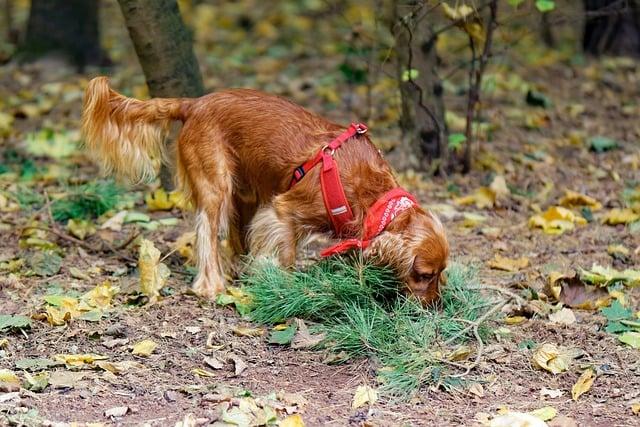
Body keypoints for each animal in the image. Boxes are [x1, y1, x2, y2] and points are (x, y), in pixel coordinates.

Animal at [81, 77, 450, 304]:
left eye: (440, 275)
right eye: (423, 275)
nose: (434, 306)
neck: (373, 195)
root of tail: (193, 104)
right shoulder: (282, 211)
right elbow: (284, 254)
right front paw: (283, 286)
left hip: (244, 193)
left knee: (235, 237)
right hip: (217, 185)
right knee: (206, 233)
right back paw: (211, 285)